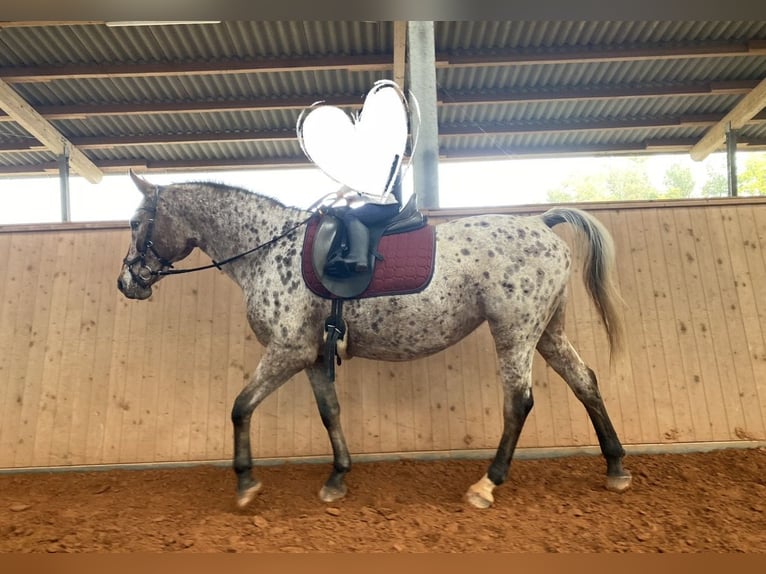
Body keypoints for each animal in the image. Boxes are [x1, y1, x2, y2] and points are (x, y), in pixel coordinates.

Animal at [117, 171, 632, 510]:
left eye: (137, 222)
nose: (127, 283)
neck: (268, 247)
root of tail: (542, 224)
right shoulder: (312, 356)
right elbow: (330, 412)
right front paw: (337, 478)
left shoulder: (287, 351)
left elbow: (241, 407)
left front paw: (245, 484)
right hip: (547, 332)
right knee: (585, 382)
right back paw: (616, 469)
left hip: (515, 332)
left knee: (519, 403)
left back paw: (486, 485)